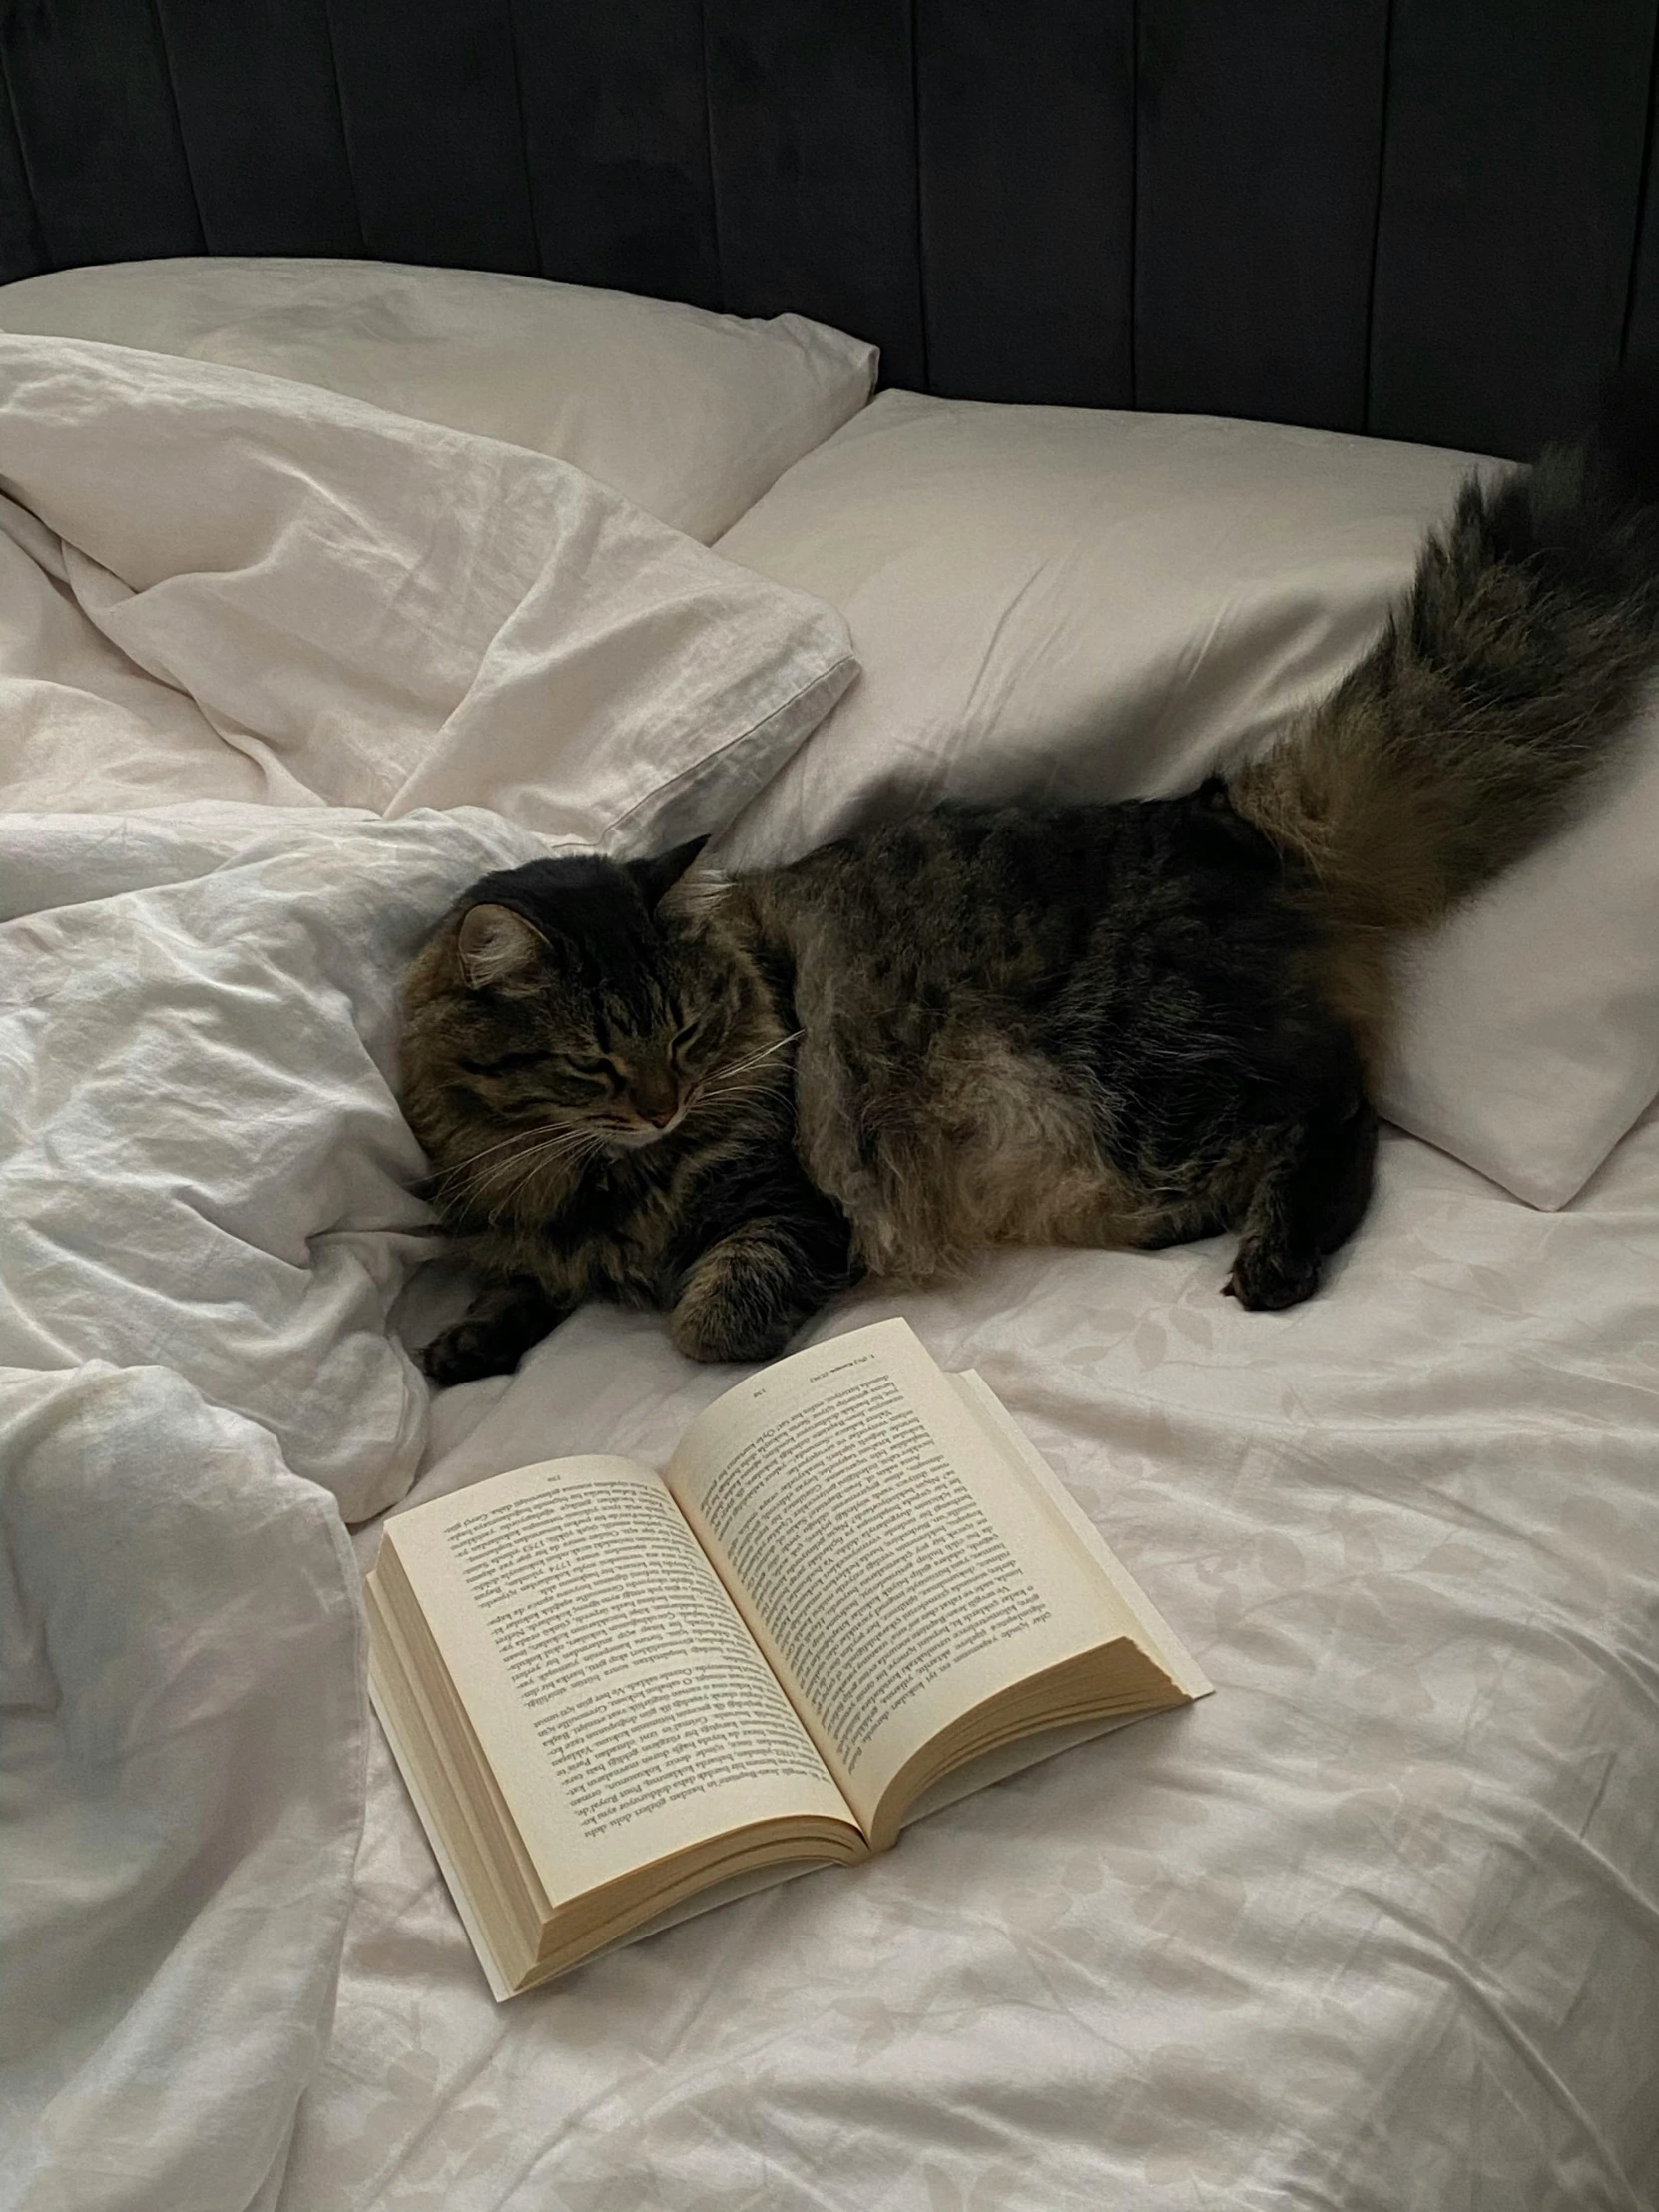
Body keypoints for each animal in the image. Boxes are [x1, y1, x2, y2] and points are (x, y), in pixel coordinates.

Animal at [400, 389, 1659, 1371]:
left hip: (1130, 1079)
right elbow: (524, 1282)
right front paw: (463, 1342)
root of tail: (1226, 815)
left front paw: (690, 1315)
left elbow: (705, 1318)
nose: (662, 1102)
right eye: (596, 1062)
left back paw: (1275, 1258)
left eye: (691, 1034)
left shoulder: (789, 1207)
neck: (583, 1174)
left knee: (1339, 1115)